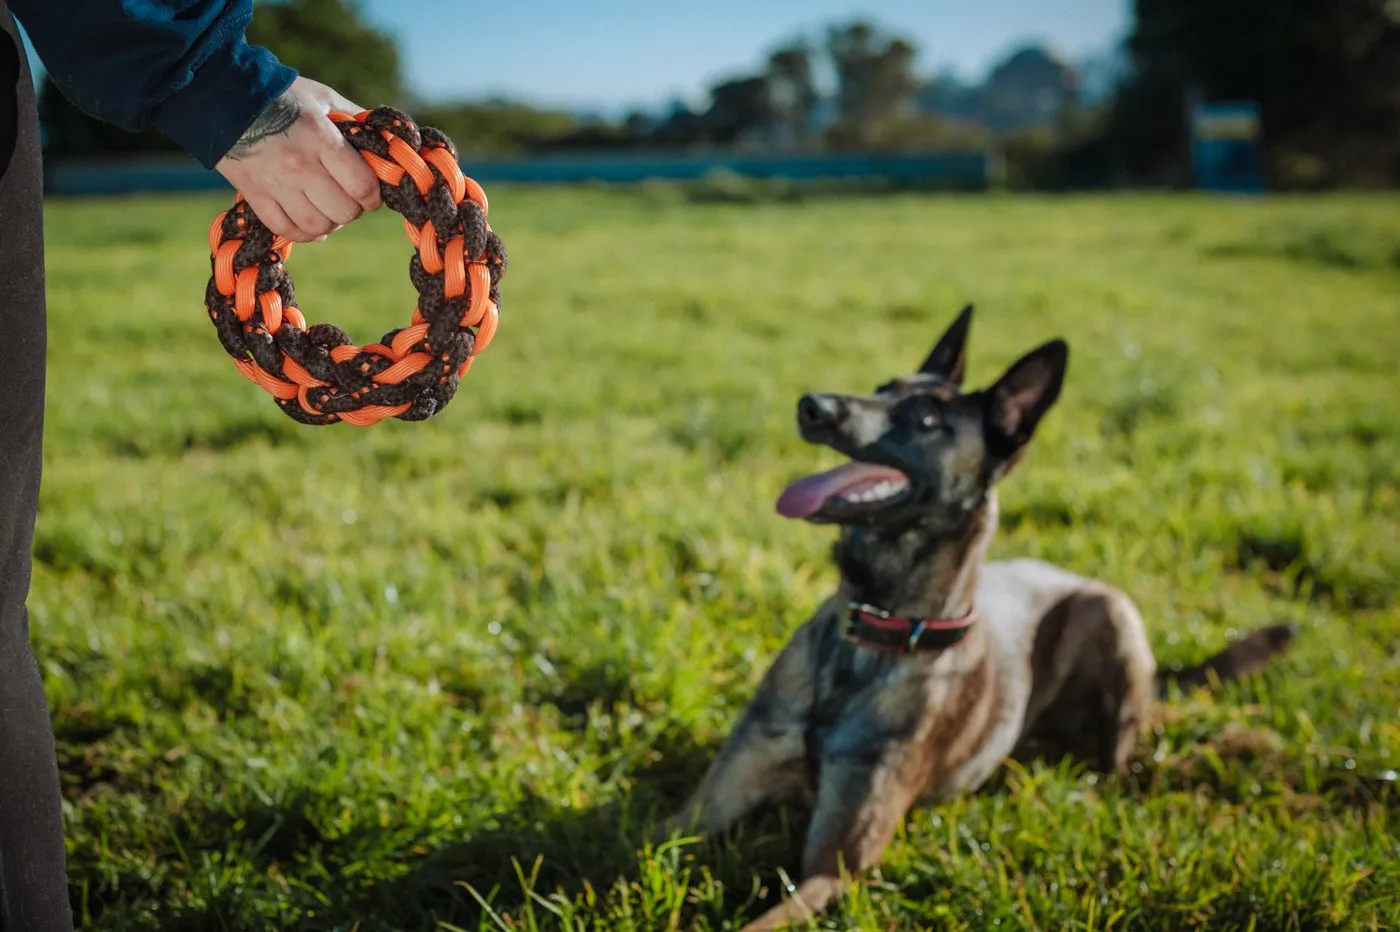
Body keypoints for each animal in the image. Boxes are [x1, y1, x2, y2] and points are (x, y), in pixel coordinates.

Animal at [660, 306, 1293, 929]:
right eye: (881, 389)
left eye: (927, 419)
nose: (812, 405)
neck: (872, 630)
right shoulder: (700, 811)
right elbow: (648, 841)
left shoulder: (829, 872)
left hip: (1112, 612)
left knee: (1122, 762)